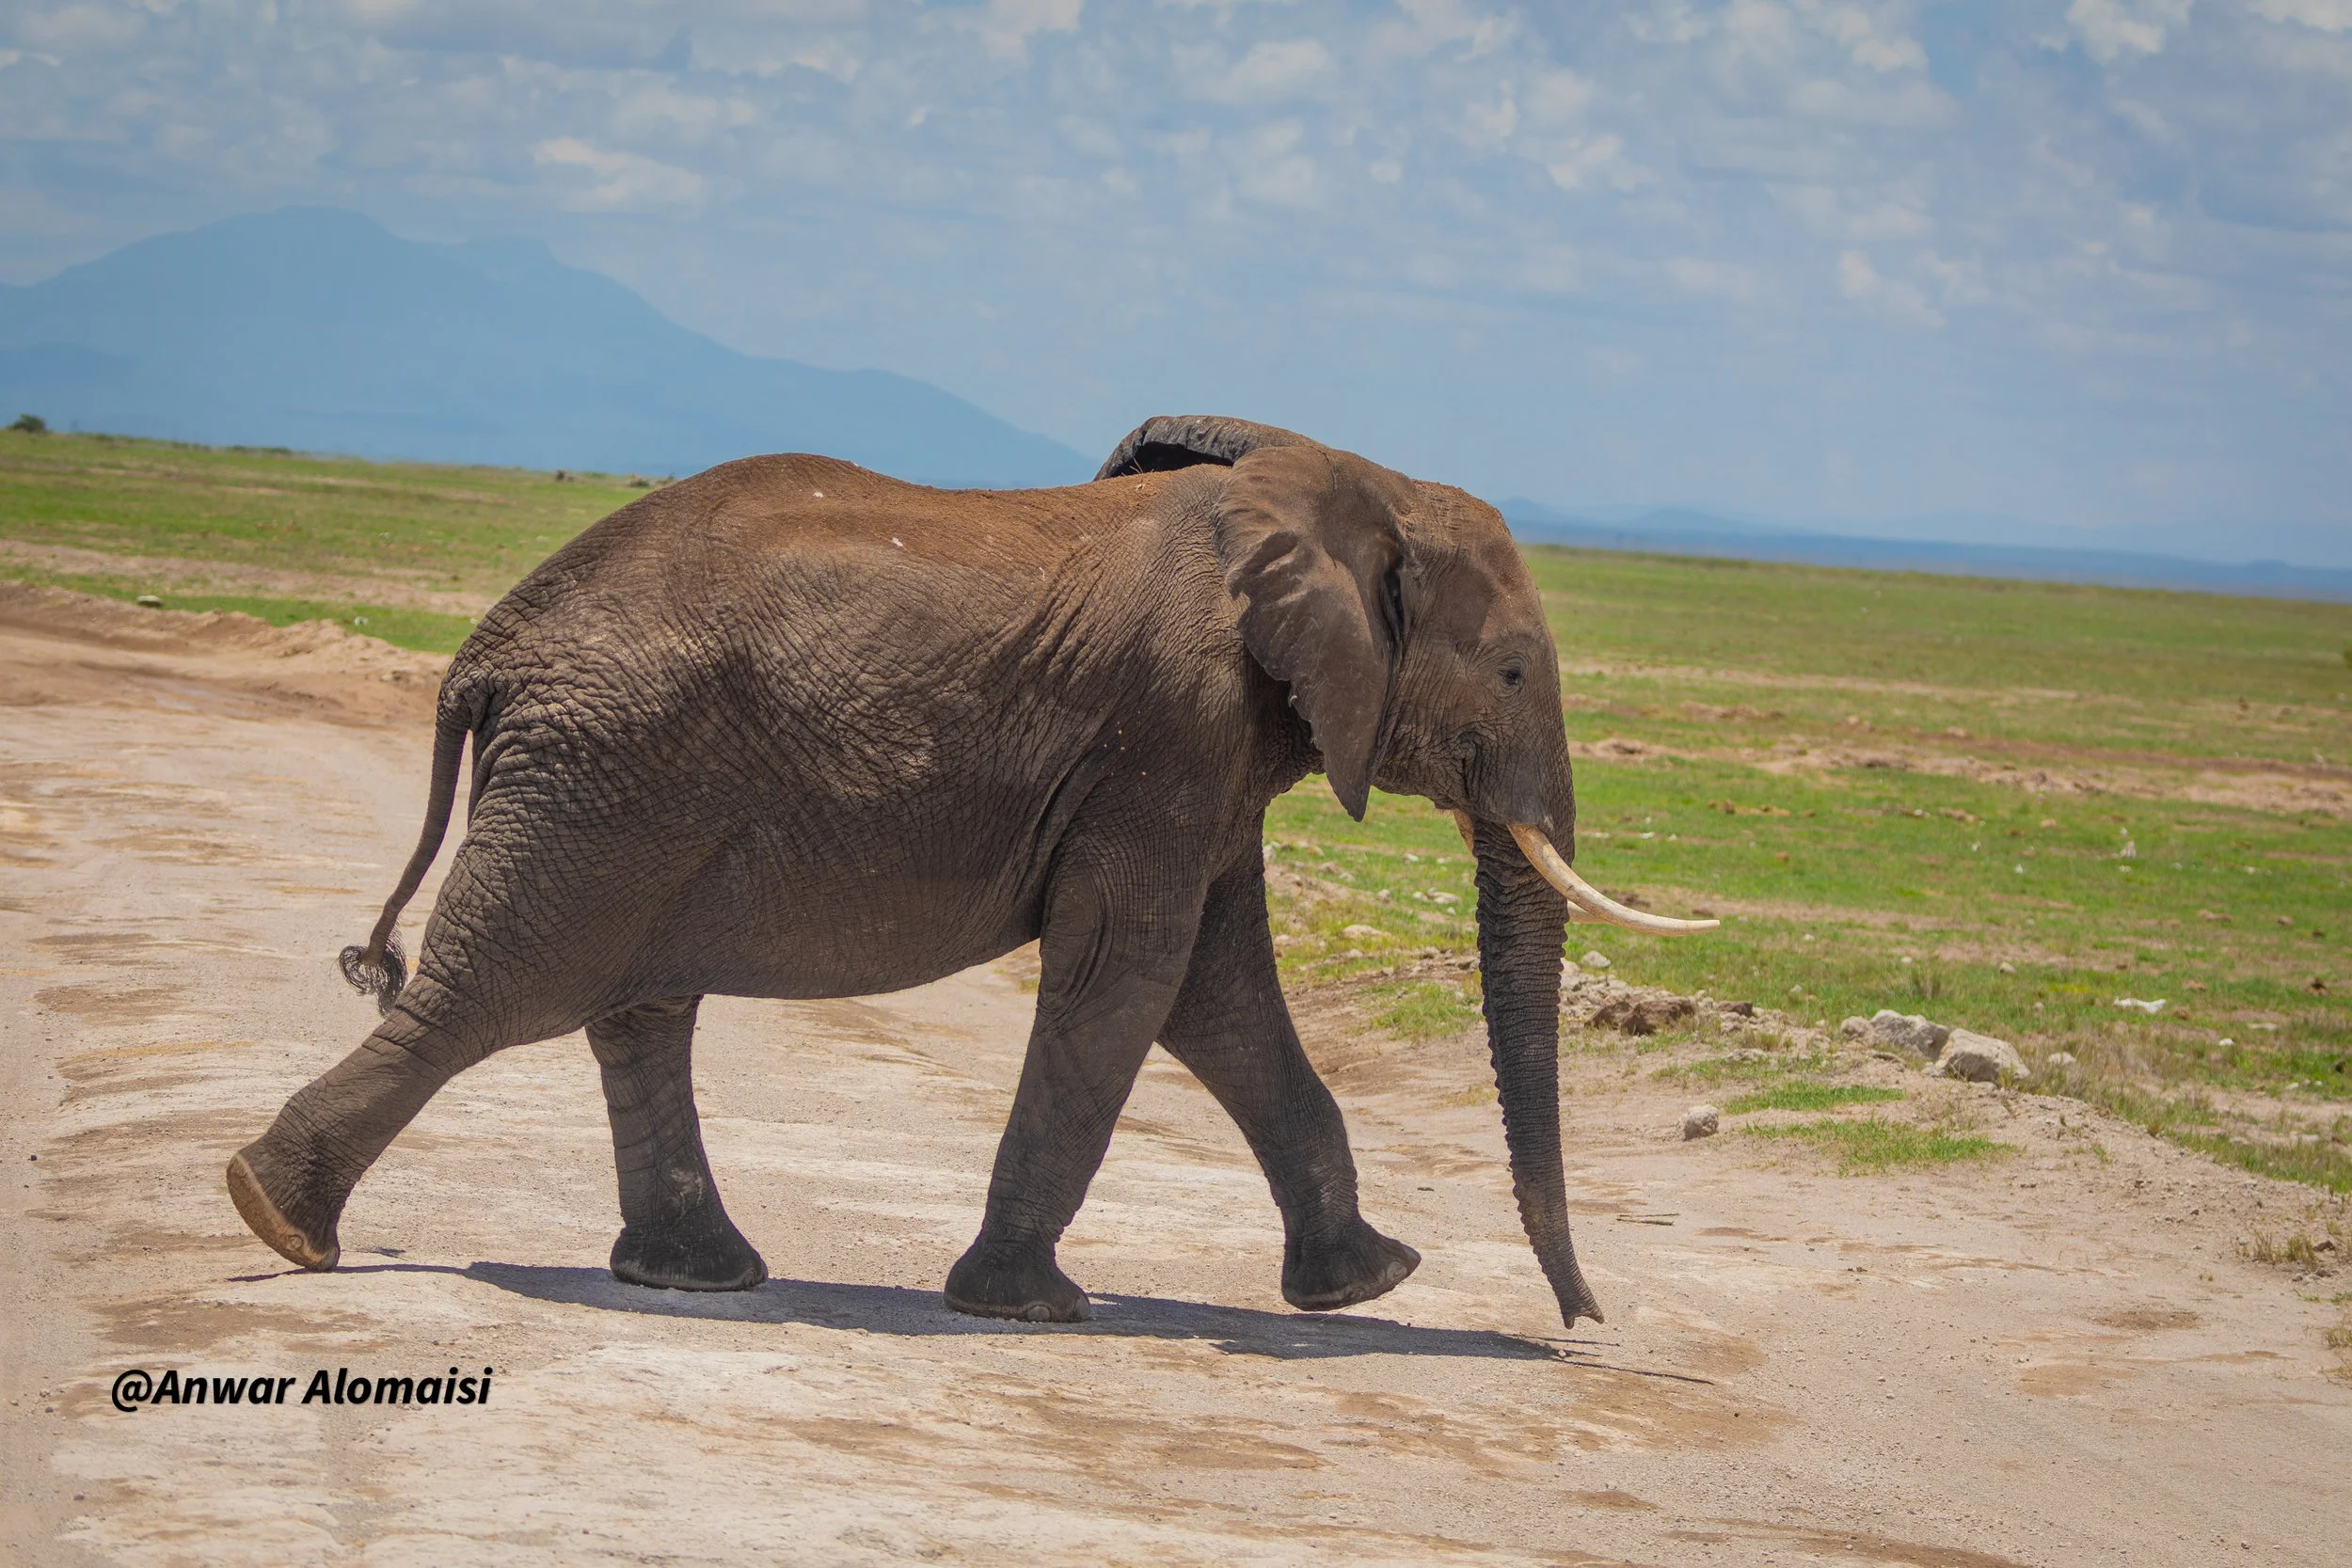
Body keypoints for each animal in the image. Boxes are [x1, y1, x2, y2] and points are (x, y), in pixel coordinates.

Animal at [225, 414, 1713, 1329]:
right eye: (1512, 672)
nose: (1584, 1321)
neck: (1344, 483)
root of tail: (490, 645)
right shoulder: (1172, 730)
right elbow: (1131, 975)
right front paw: (1031, 1307)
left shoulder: (1214, 756)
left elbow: (1215, 994)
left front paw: (1368, 1284)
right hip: (605, 786)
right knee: (491, 994)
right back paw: (279, 1219)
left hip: (619, 788)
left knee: (634, 1010)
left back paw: (695, 1276)